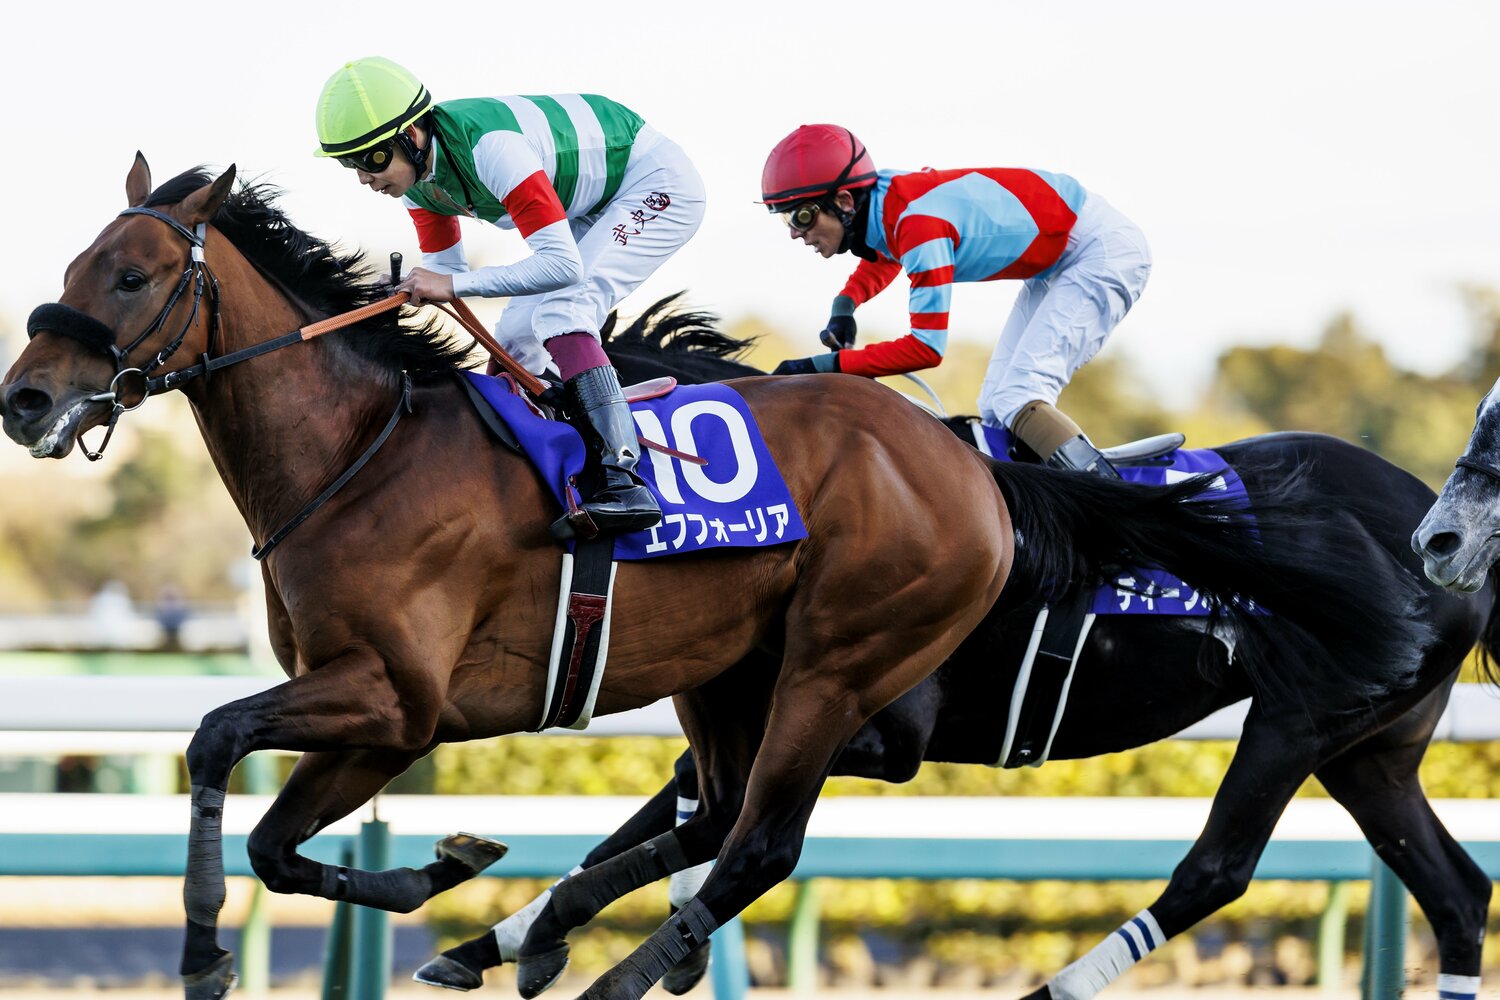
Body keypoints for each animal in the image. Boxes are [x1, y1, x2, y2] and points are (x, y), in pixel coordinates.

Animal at [0, 160, 1388, 1000]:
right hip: (733, 674)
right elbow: (274, 834)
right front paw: (439, 872)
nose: (24, 399)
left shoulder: (397, 699)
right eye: (69, 268)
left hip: (842, 663)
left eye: (130, 273)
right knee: (718, 818)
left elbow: (214, 740)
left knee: (764, 839)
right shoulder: (382, 718)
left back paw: (615, 968)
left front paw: (218, 942)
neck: (362, 452)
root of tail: (970, 469)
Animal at [415, 303, 1497, 1000]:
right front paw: (506, 942)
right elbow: (664, 812)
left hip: (1298, 717)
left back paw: (1056, 990)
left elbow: (707, 809)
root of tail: (1427, 521)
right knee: (1455, 892)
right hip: (1371, 748)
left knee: (1216, 871)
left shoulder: (879, 730)